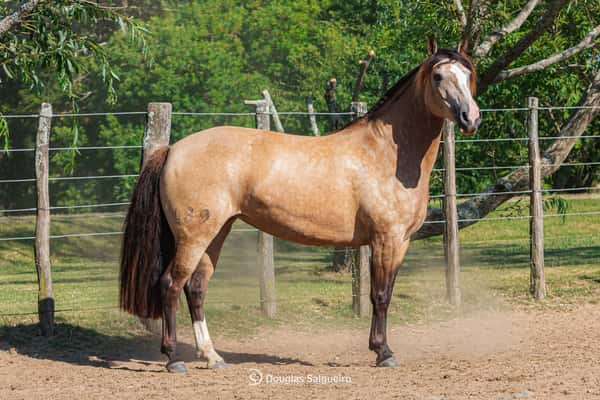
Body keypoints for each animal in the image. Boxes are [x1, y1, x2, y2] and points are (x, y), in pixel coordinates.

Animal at [118, 36, 482, 374]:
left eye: (468, 73)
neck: (384, 154)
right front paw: (384, 352)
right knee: (170, 285)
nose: (471, 118)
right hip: (193, 238)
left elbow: (383, 293)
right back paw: (173, 359)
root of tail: (172, 149)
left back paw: (212, 357)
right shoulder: (387, 239)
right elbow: (380, 296)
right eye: (438, 75)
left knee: (195, 288)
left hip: (216, 233)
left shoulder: (399, 242)